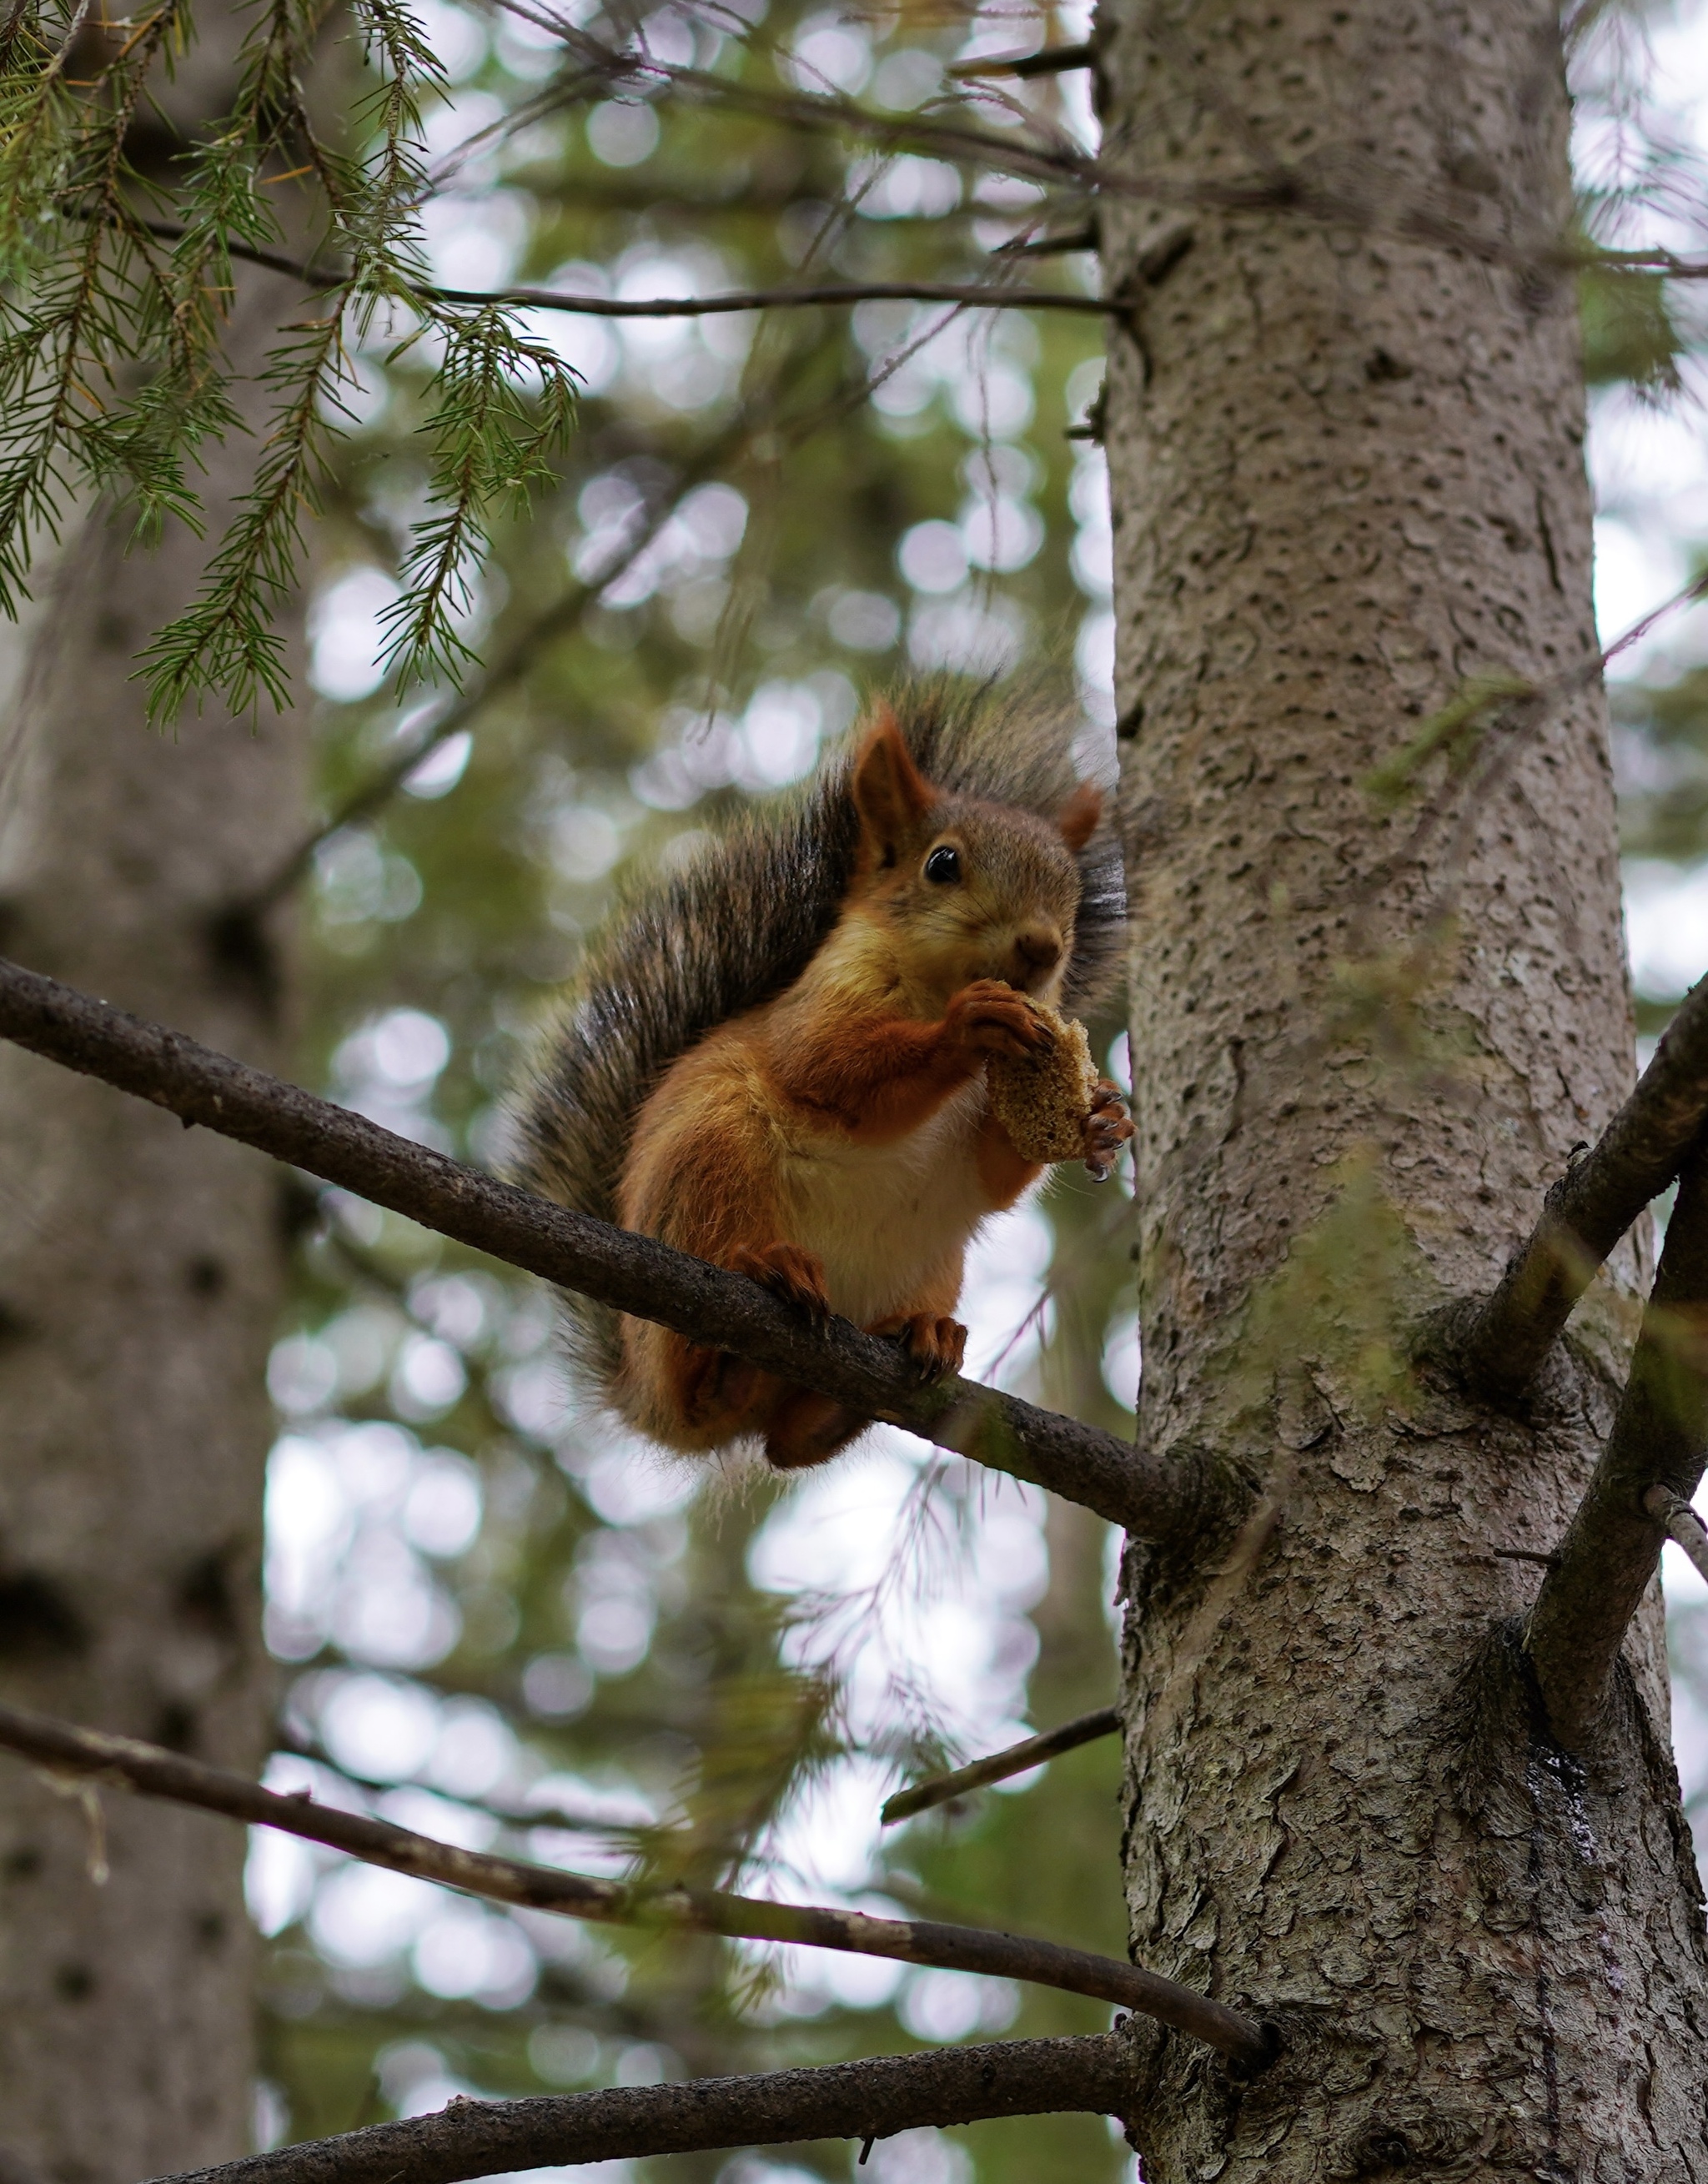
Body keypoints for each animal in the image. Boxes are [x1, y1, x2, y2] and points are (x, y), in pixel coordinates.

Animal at [510, 672, 1135, 1476]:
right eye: (942, 864)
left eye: (1073, 892)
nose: (1042, 948)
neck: (930, 986)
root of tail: (642, 1394)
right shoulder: (818, 1007)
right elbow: (828, 1066)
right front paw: (965, 1027)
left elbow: (995, 1172)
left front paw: (1101, 1121)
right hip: (710, 1165)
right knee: (707, 1374)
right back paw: (749, 1309)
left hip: (935, 1265)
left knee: (786, 1444)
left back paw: (900, 1351)